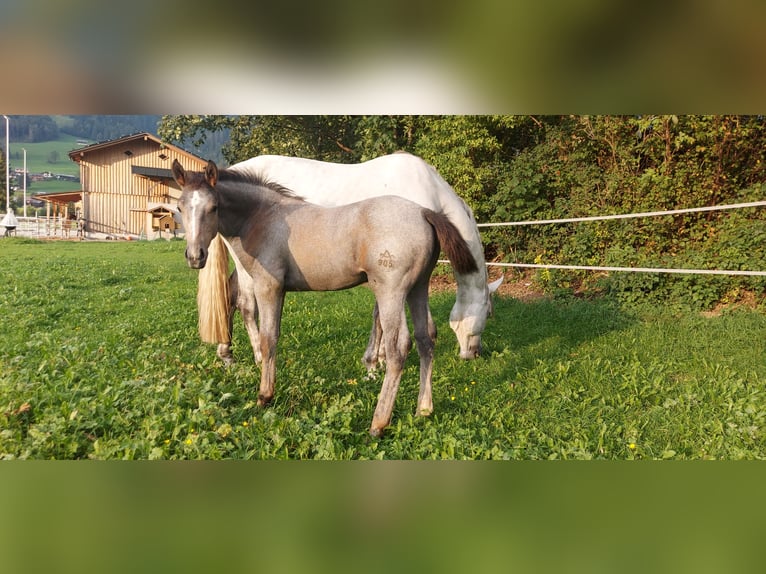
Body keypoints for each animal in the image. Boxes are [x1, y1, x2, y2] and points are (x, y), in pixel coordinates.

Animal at [208, 151, 504, 362]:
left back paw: (226, 352)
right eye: (489, 313)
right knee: (246, 304)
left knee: (229, 296)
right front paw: (380, 359)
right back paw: (257, 355)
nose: (473, 354)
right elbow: (382, 317)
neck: (426, 190)